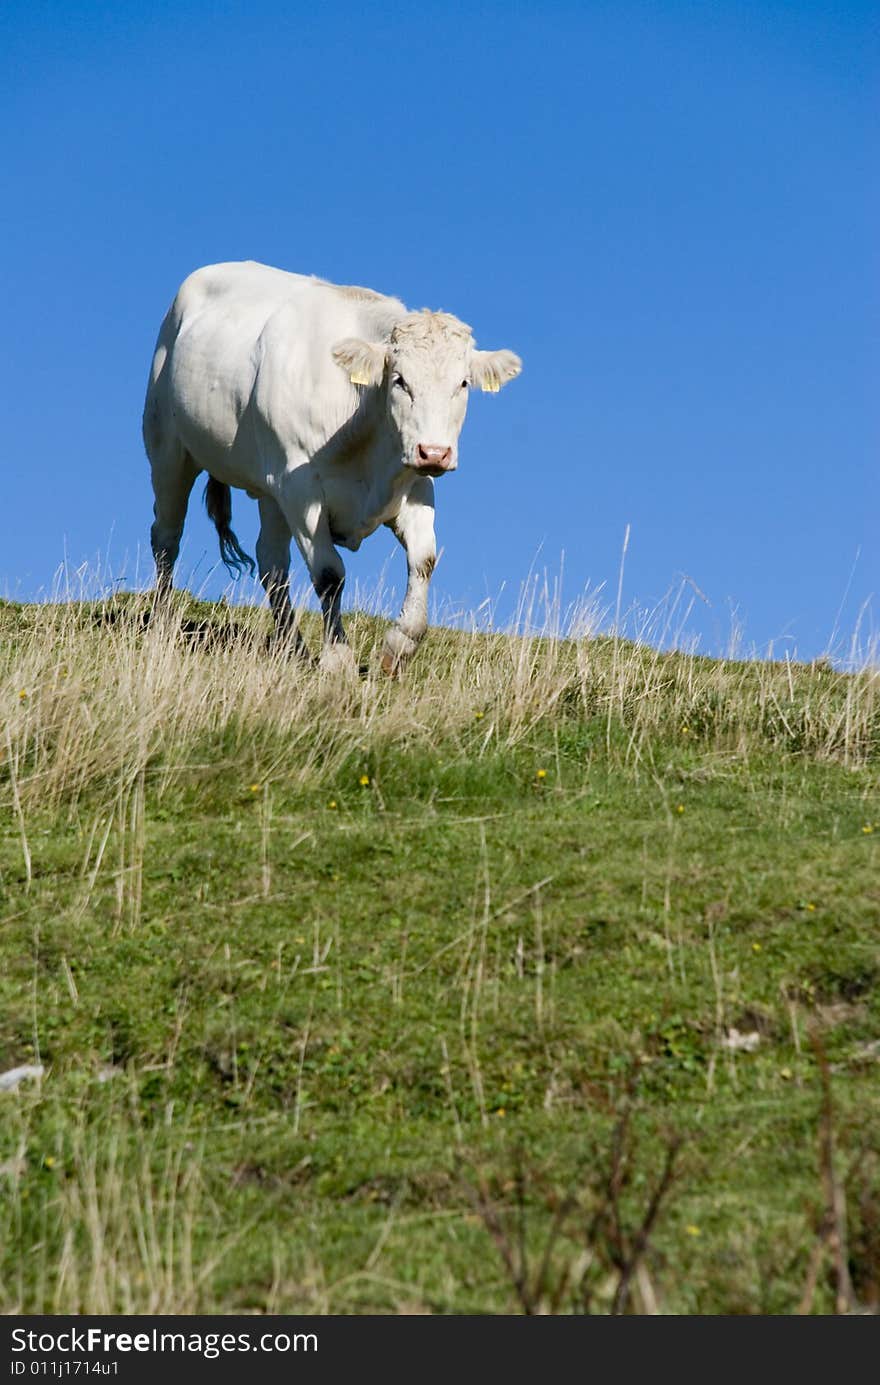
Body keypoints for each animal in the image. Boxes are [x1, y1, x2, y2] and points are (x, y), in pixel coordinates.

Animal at [141, 261, 521, 673]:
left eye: (463, 383)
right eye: (399, 380)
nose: (434, 453)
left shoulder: (415, 486)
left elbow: (424, 561)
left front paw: (399, 646)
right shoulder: (300, 490)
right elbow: (329, 574)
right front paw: (338, 658)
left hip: (269, 488)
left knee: (271, 562)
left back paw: (291, 646)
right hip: (169, 450)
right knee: (167, 536)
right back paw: (161, 623)